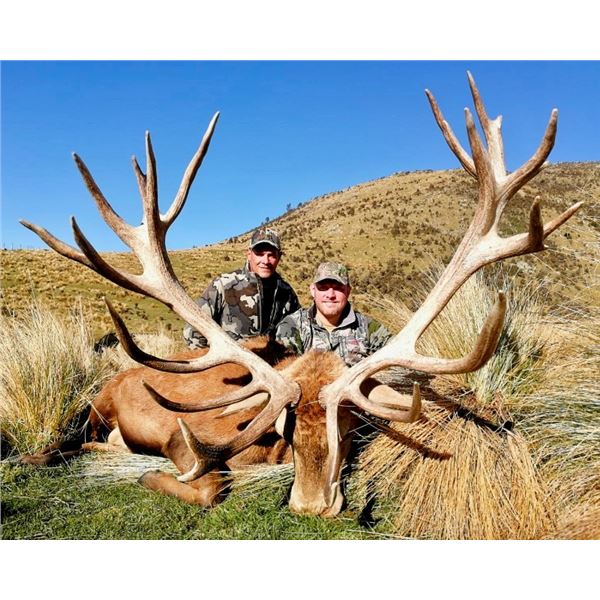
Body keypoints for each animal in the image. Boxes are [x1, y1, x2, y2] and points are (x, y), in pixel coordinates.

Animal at [20, 72, 581, 516]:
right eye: (288, 428)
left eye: (351, 424)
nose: (312, 505)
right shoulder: (185, 438)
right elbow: (208, 484)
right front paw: (144, 472)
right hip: (95, 409)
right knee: (65, 443)